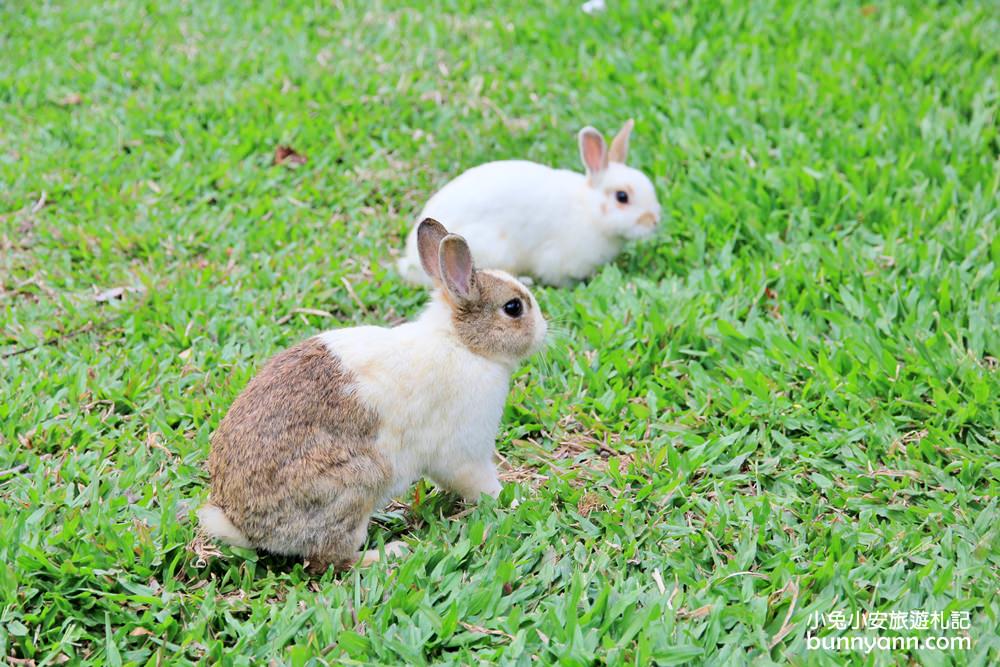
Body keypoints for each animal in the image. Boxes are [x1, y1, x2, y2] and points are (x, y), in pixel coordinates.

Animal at [196, 220, 548, 576]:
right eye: (514, 307)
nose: (544, 331)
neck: (462, 342)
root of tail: (242, 523)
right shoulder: (464, 452)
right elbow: (482, 484)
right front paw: (516, 499)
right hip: (357, 482)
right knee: (329, 560)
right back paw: (391, 553)